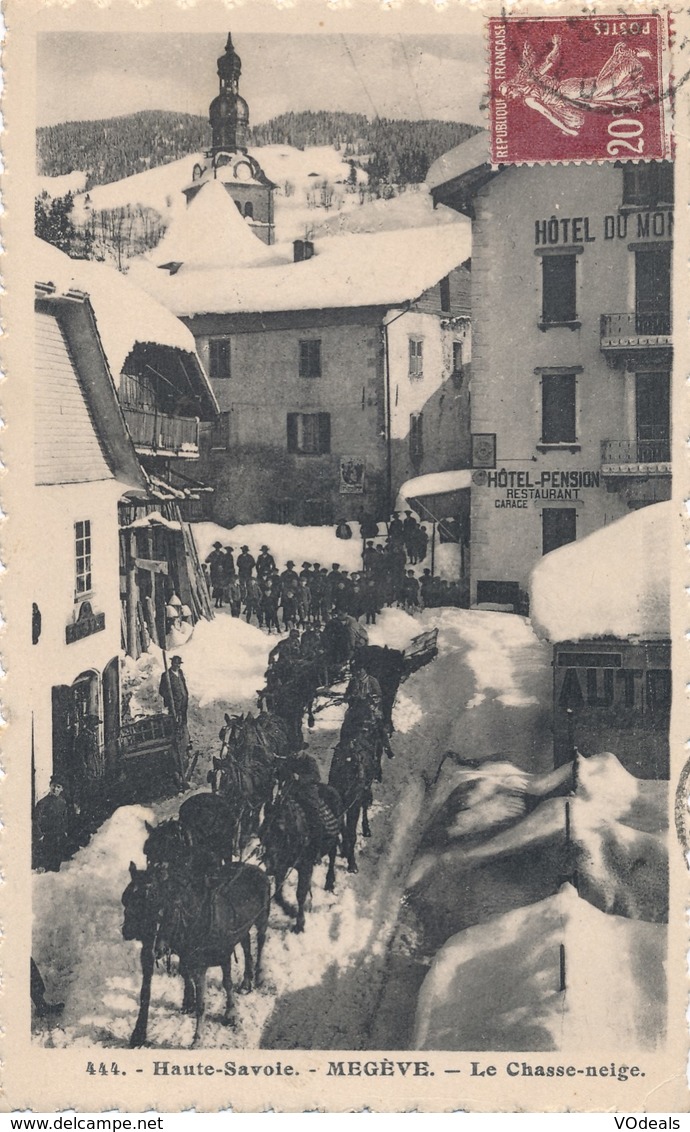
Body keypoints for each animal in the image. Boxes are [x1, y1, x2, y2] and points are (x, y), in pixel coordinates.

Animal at [122, 860, 266, 1045]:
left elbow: (226, 983)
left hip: (262, 918)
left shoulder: (222, 955)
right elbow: (186, 984)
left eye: (150, 896)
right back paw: (247, 981)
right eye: (125, 897)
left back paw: (259, 976)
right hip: (244, 929)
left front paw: (230, 1014)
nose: (127, 930)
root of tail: (254, 867)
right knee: (247, 945)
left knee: (260, 941)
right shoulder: (189, 958)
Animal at [257, 783, 339, 932]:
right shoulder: (282, 866)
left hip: (333, 841)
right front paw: (290, 910)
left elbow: (300, 894)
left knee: (332, 856)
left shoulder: (305, 867)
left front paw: (300, 924)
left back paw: (329, 882)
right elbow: (278, 893)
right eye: (261, 833)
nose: (270, 865)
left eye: (281, 832)